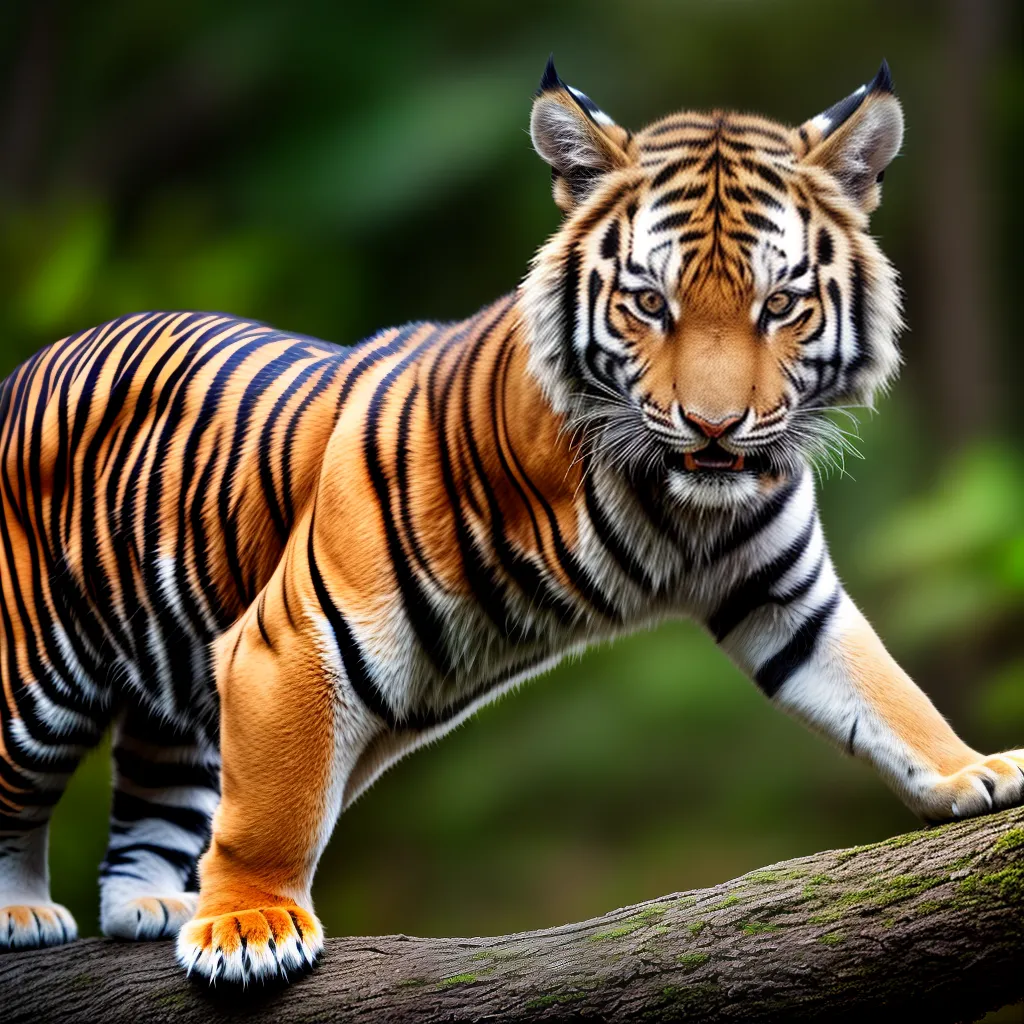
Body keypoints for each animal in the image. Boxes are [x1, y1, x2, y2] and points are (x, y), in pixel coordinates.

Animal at [0, 58, 1021, 985]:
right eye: (649, 302)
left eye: (780, 305)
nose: (714, 426)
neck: (665, 503)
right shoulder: (292, 639)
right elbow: (271, 811)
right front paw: (250, 925)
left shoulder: (785, 597)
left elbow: (885, 690)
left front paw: (974, 771)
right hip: (35, 675)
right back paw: (27, 914)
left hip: (173, 689)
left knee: (152, 798)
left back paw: (152, 904)